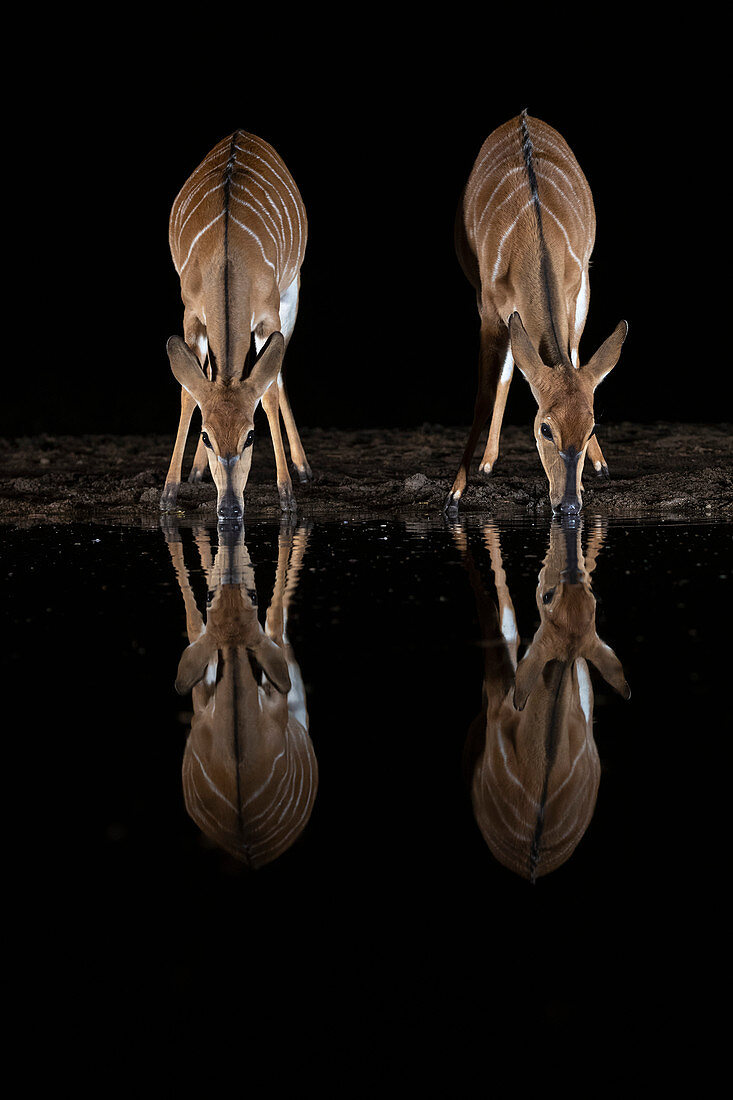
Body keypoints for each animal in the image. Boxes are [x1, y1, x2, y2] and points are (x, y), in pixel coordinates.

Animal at [161, 128, 310, 519]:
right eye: (206, 436)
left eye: (250, 436)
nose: (229, 507)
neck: (228, 258)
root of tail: (240, 133)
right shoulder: (191, 312)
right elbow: (190, 391)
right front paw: (169, 492)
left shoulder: (270, 312)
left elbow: (268, 390)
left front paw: (287, 495)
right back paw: (195, 471)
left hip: (292, 291)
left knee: (278, 372)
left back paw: (303, 467)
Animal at [442, 111, 625, 514]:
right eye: (545, 428)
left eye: (592, 427)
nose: (568, 505)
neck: (532, 238)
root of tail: (521, 116)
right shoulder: (489, 307)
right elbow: (486, 392)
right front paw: (455, 493)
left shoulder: (576, 288)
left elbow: (573, 358)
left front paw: (592, 471)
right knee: (508, 371)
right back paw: (488, 462)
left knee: (567, 354)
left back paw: (600, 465)